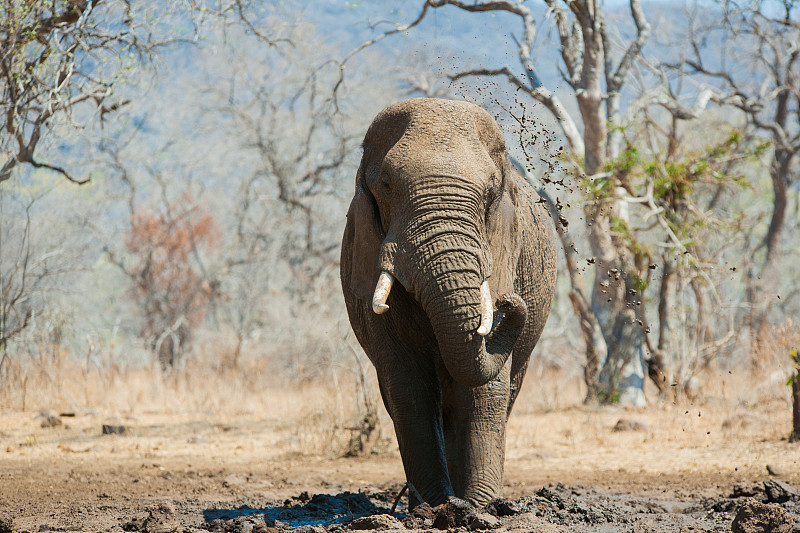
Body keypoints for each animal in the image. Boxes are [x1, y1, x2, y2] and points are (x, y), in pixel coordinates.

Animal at [338, 97, 556, 510]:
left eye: (491, 191)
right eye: (385, 185)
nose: (510, 301)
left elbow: (487, 391)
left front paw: (479, 510)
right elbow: (407, 387)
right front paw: (437, 508)